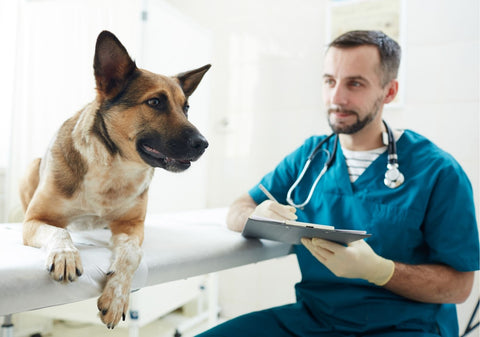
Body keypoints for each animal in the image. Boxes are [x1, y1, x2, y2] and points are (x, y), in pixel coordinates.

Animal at [18, 30, 210, 326]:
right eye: (155, 102)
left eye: (186, 107)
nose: (203, 144)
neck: (113, 165)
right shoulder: (34, 220)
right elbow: (60, 231)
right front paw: (65, 255)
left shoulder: (132, 226)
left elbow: (131, 254)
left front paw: (117, 296)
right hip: (31, 168)